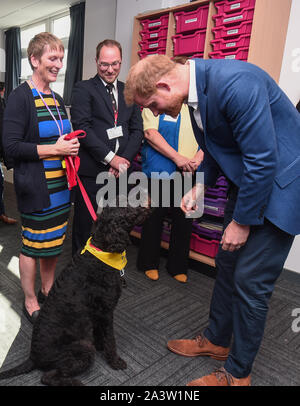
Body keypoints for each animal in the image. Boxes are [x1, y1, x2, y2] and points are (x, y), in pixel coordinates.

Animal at [0, 200, 150, 386]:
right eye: (127, 207)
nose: (148, 206)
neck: (102, 251)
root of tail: (33, 357)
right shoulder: (106, 312)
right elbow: (111, 339)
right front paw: (115, 361)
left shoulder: (97, 313)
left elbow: (100, 334)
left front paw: (101, 345)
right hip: (83, 347)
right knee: (48, 377)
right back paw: (76, 383)